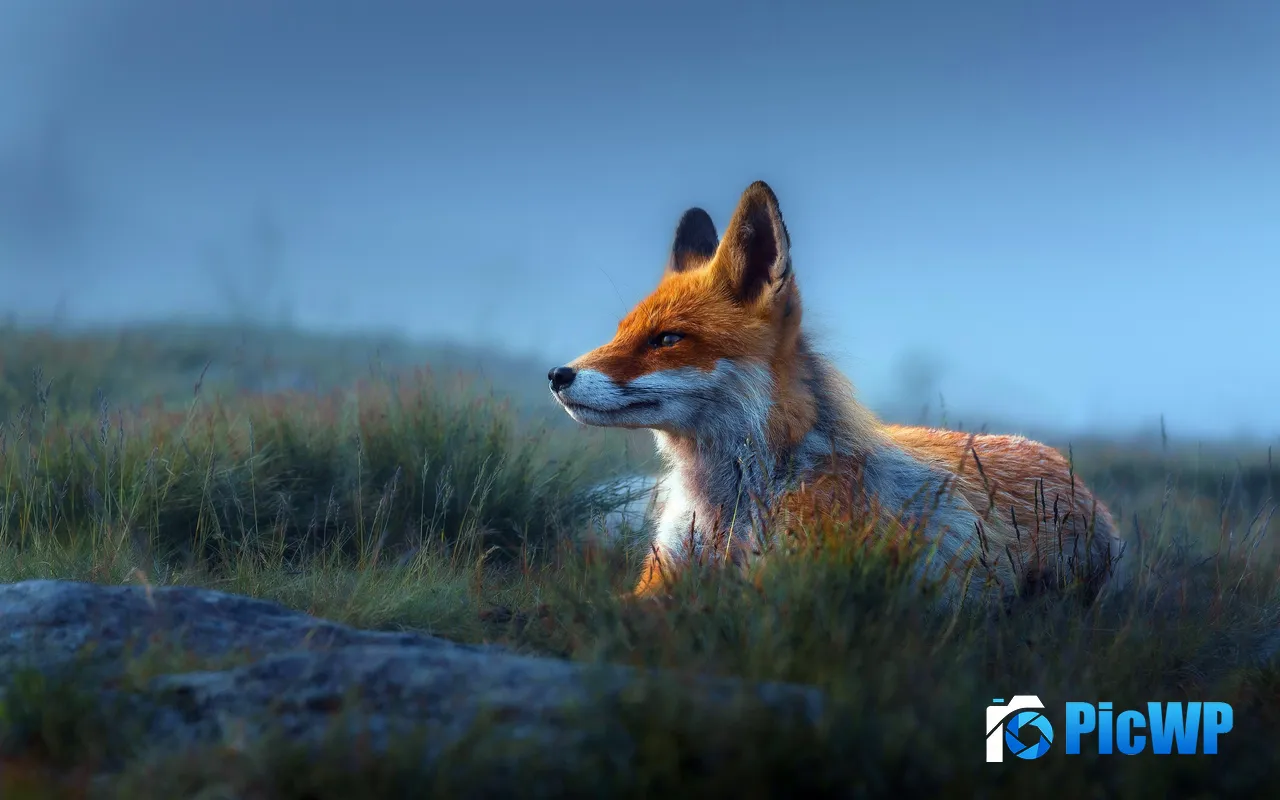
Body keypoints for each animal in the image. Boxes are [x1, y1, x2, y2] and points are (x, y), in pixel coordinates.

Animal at [548, 180, 1125, 609]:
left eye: (667, 339)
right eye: (620, 332)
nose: (557, 375)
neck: (729, 511)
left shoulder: (784, 589)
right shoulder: (662, 576)